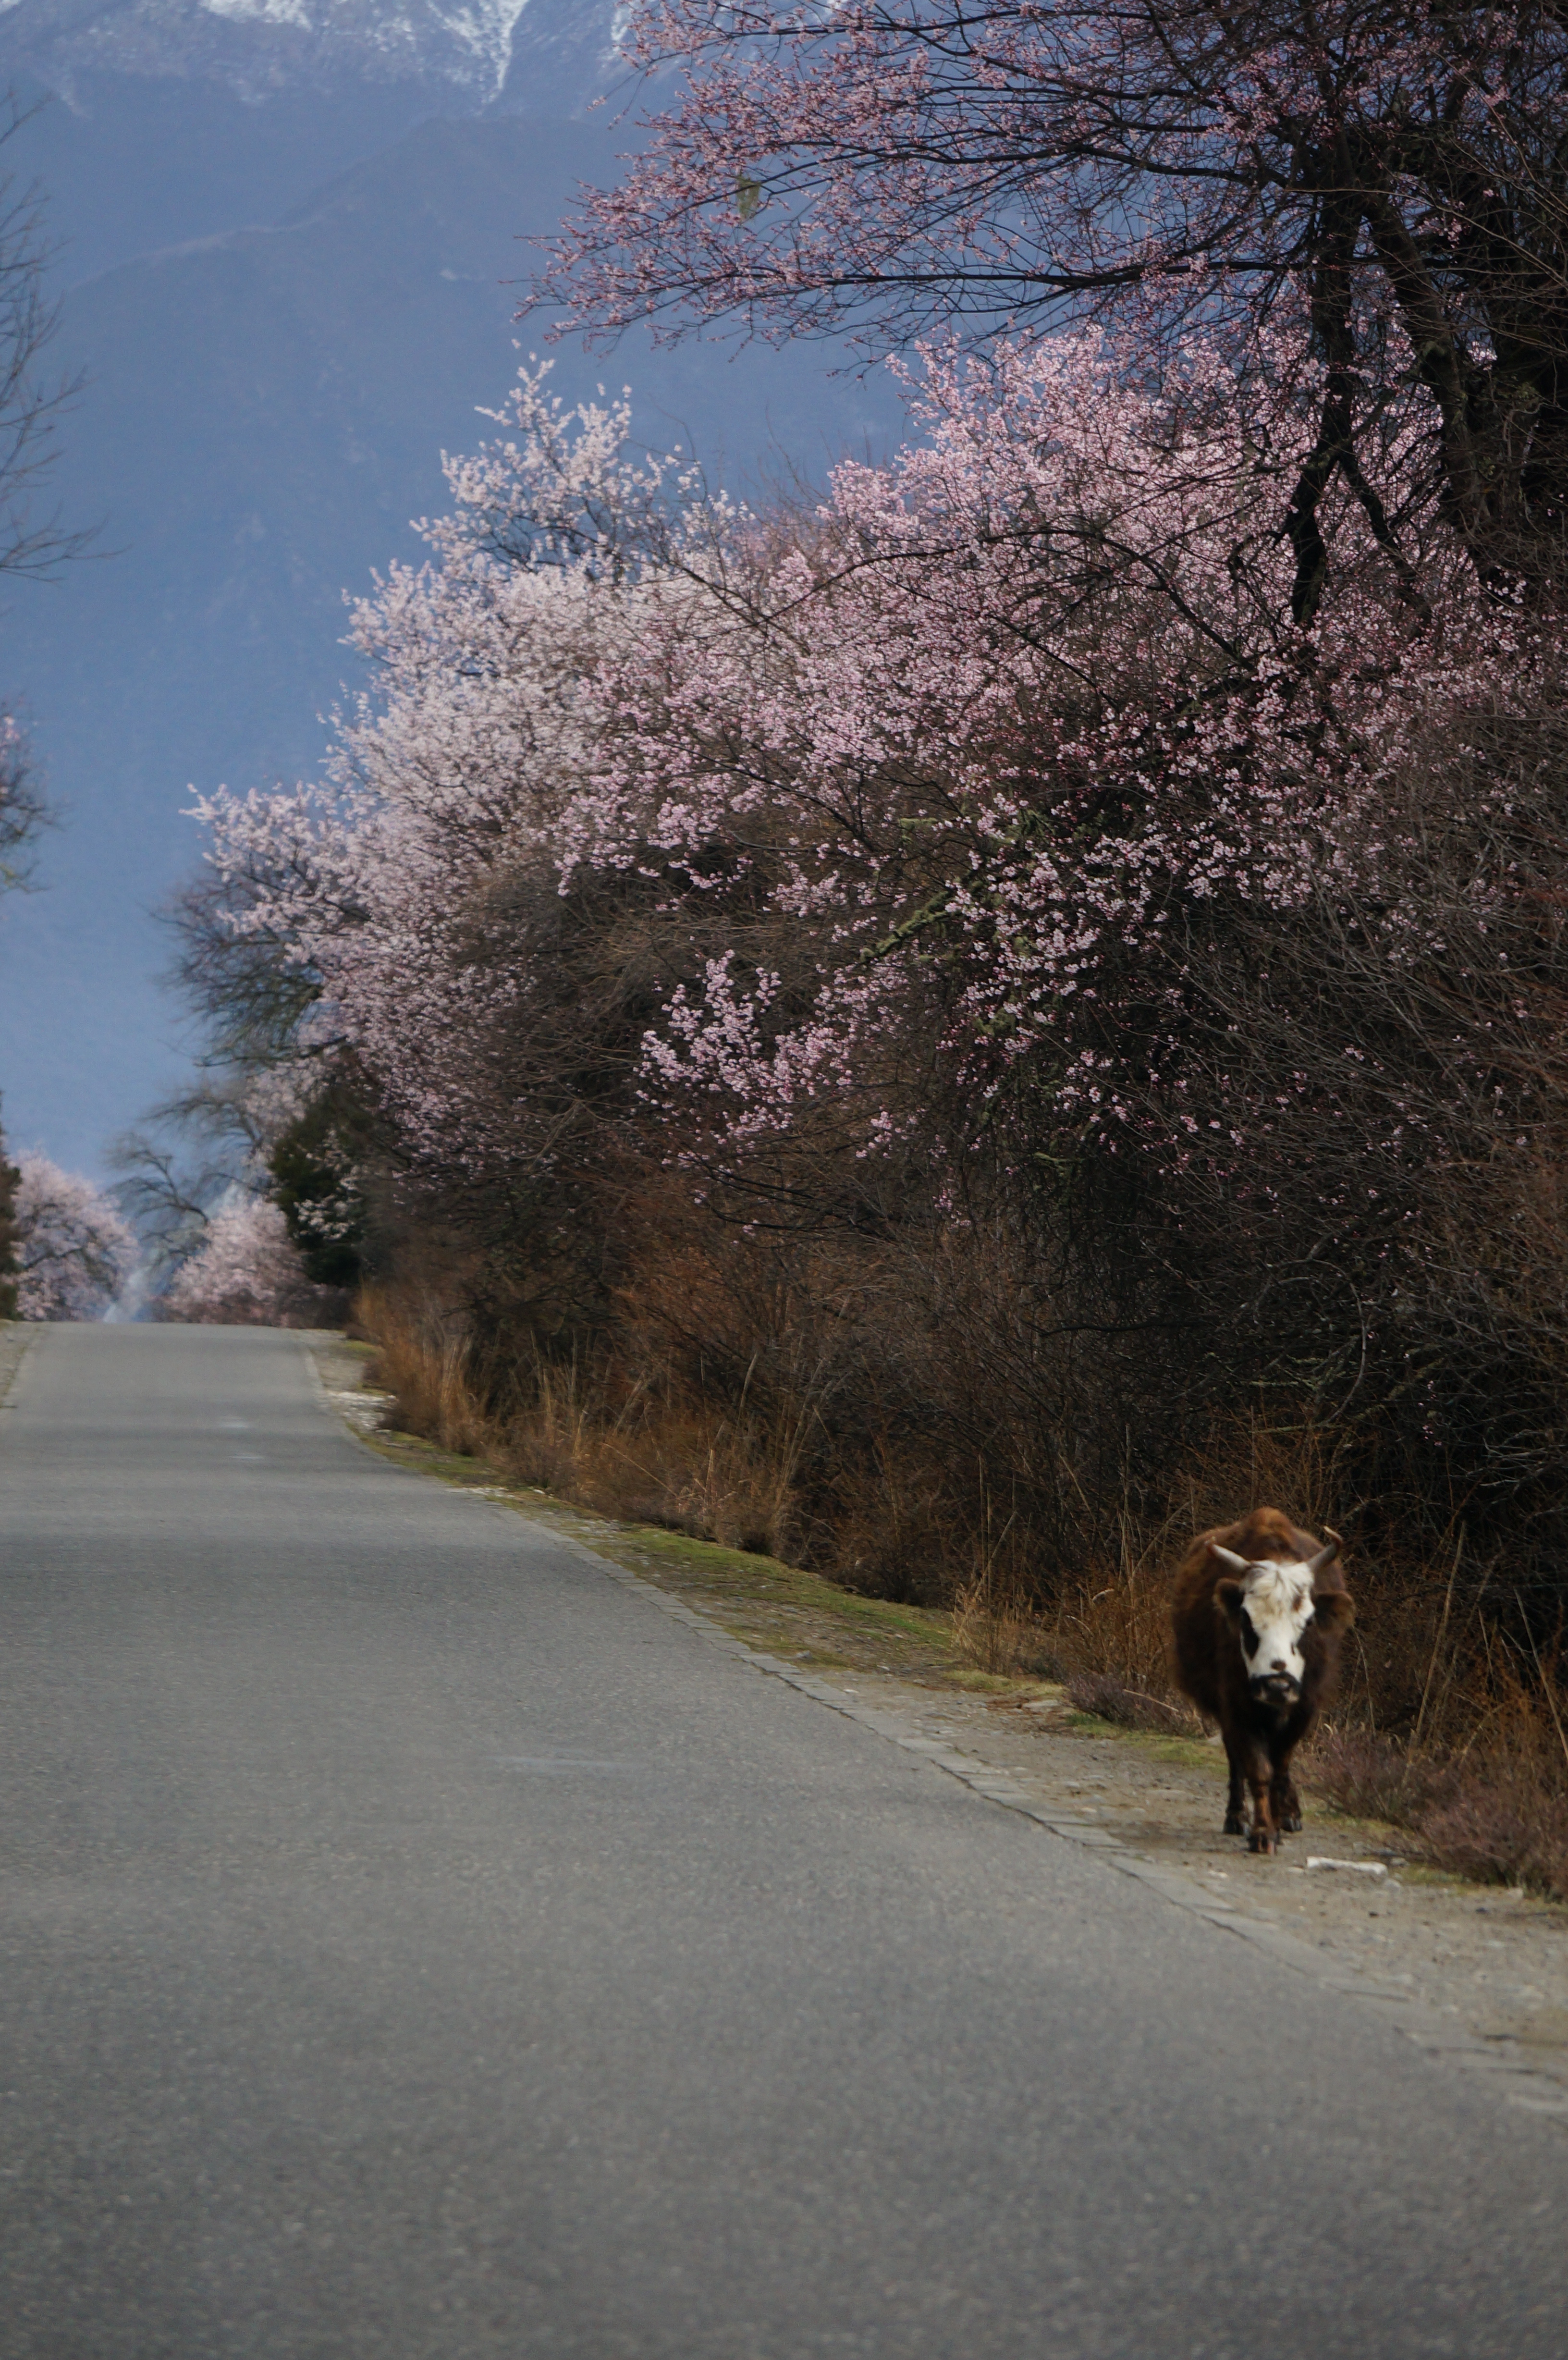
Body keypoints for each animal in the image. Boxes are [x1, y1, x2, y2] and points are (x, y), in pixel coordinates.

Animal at [1171, 1510, 1350, 1859]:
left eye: (1308, 1622)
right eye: (1246, 1618)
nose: (1277, 1687)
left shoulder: (1304, 1708)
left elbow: (1280, 1765)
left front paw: (1281, 1820)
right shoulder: (1238, 1707)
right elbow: (1258, 1769)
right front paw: (1263, 1832)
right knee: (1235, 1758)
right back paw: (1237, 1816)